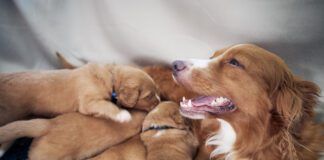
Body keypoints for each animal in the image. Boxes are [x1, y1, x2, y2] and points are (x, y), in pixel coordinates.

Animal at [0, 63, 159, 124]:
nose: (159, 101)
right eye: (149, 96)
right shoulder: (87, 102)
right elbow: (107, 105)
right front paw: (122, 115)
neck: (110, 77)